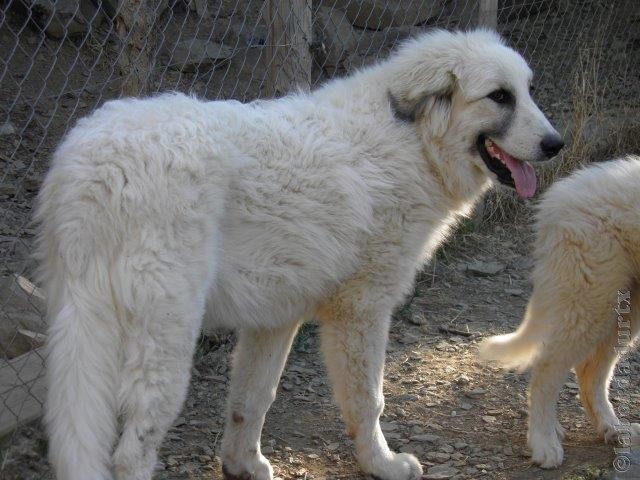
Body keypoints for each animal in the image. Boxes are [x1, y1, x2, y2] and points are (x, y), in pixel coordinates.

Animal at [482, 157, 636, 468]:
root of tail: (560, 193)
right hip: (589, 298)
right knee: (547, 368)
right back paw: (544, 441)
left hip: (624, 305)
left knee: (591, 370)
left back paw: (610, 426)